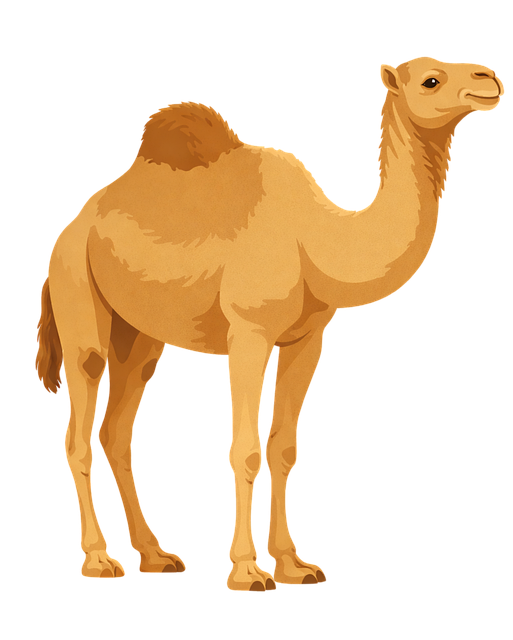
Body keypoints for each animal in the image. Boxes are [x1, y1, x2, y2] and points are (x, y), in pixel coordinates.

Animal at [34, 56, 503, 591]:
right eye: (431, 80)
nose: (489, 79)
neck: (317, 239)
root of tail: (69, 228)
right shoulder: (249, 331)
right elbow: (246, 450)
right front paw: (246, 570)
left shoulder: (307, 339)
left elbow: (282, 450)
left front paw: (295, 566)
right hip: (77, 289)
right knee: (80, 421)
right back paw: (98, 561)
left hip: (142, 336)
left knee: (114, 430)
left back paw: (157, 558)